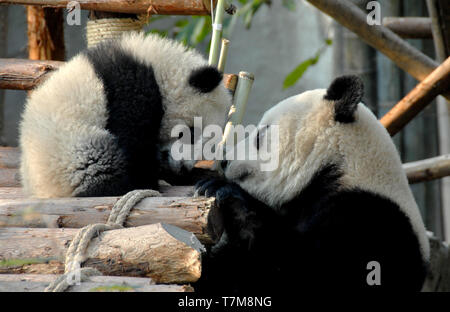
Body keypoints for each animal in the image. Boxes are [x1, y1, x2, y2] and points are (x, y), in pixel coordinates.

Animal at [19, 32, 232, 197]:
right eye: (191, 133)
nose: (182, 167)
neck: (161, 68)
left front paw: (192, 175)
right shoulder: (131, 86)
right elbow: (134, 139)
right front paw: (149, 178)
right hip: (69, 152)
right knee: (100, 165)